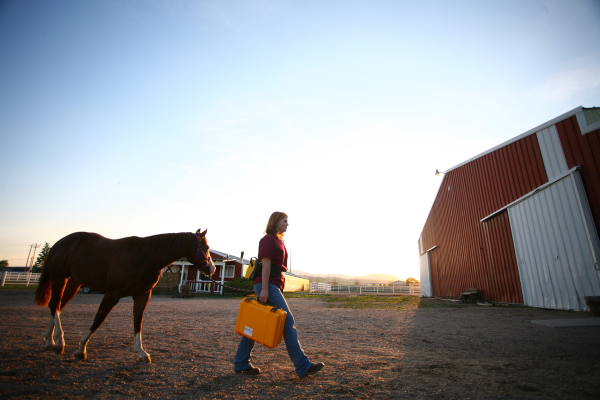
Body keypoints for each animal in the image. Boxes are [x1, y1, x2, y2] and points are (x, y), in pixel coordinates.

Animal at [33, 228, 216, 362]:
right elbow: (99, 319)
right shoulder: (112, 294)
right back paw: (59, 342)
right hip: (59, 278)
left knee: (58, 306)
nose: (212, 269)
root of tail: (59, 243)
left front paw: (141, 352)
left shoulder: (142, 295)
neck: (145, 258)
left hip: (73, 282)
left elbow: (138, 322)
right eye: (206, 248)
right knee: (54, 305)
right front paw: (81, 348)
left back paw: (50, 341)